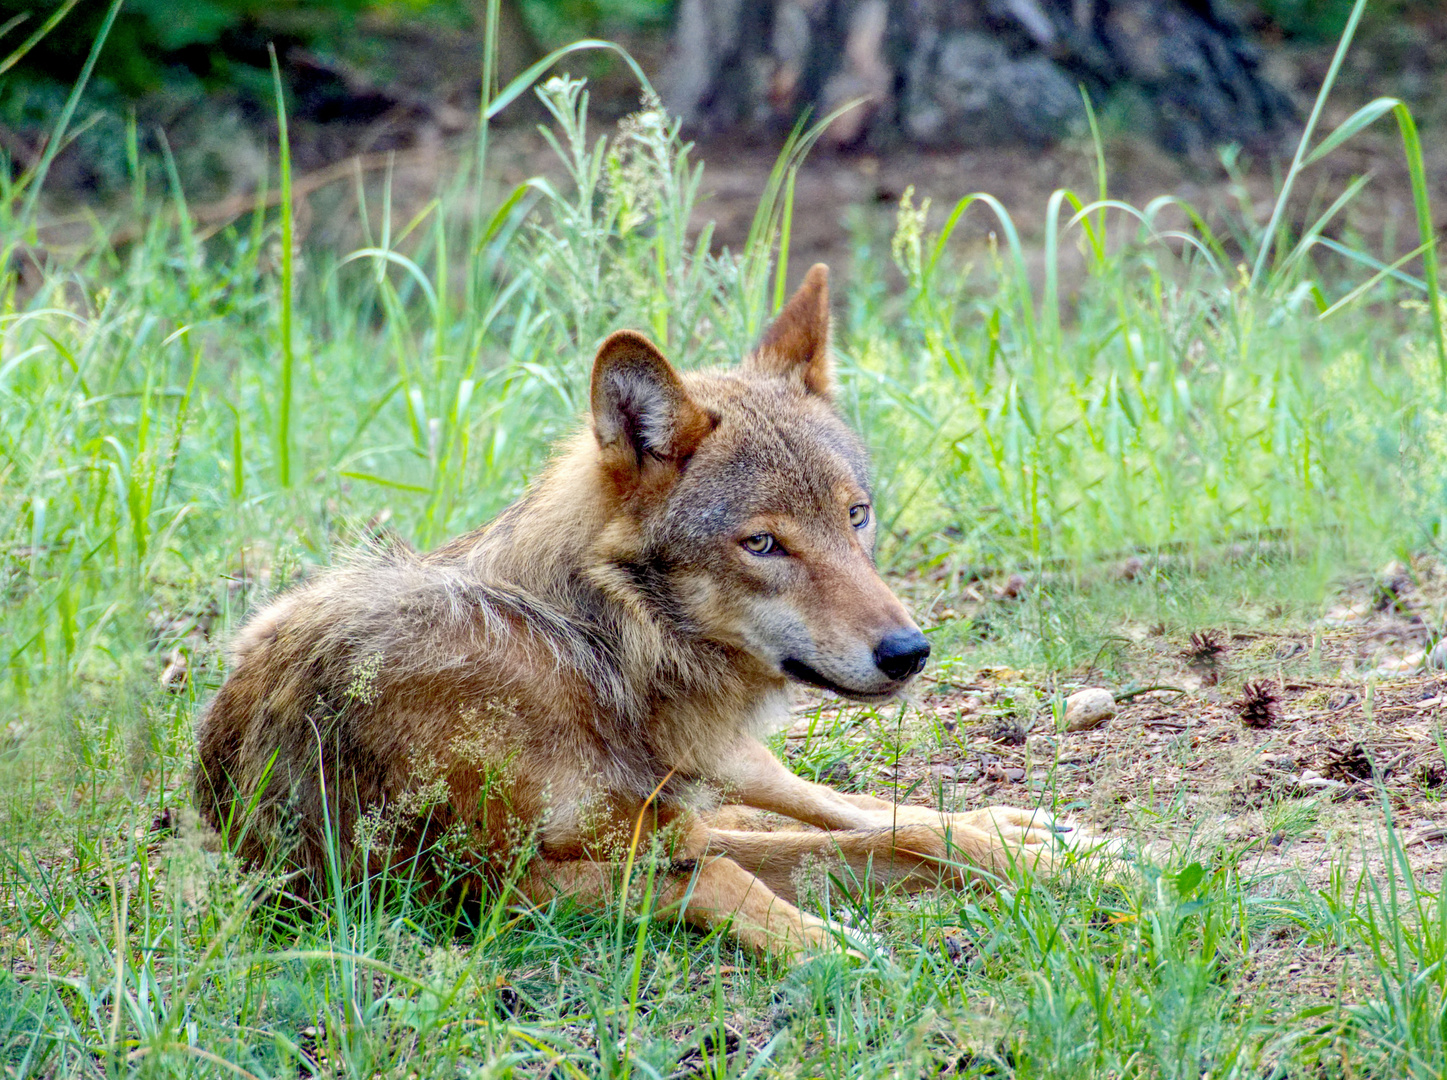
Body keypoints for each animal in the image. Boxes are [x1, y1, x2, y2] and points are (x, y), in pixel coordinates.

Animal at [195, 263, 1064, 949]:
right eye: (762, 543)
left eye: (856, 516)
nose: (908, 653)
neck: (587, 652)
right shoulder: (494, 887)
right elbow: (726, 877)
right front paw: (831, 946)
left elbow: (898, 838)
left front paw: (1060, 863)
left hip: (733, 769)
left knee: (841, 806)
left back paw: (1031, 830)